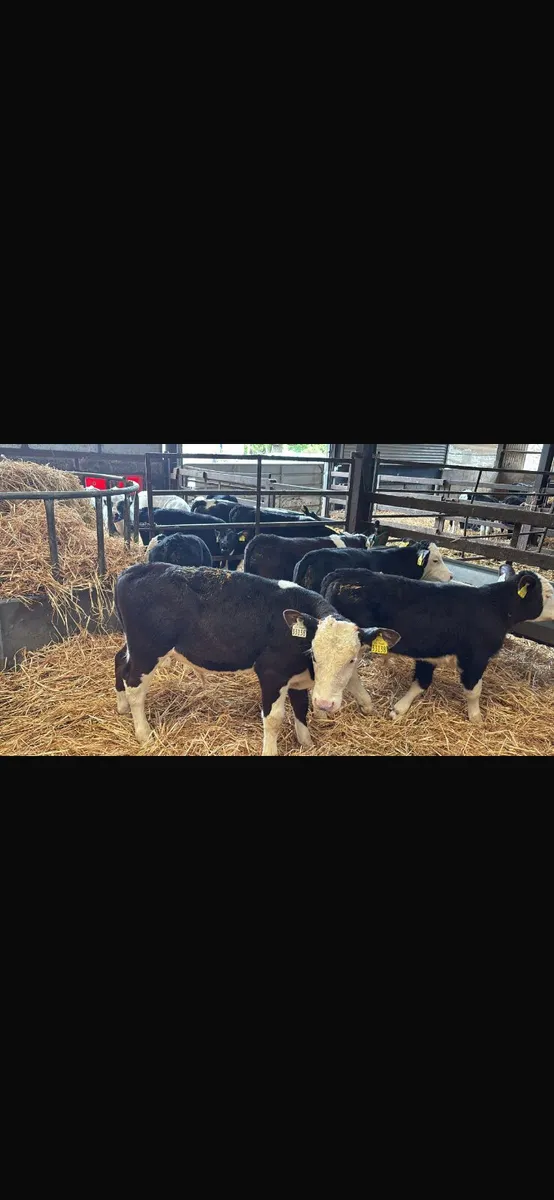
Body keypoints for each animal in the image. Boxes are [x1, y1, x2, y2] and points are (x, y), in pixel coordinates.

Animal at [114, 563, 400, 755]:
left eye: (352, 659)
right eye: (315, 655)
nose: (325, 704)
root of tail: (135, 570)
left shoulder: (295, 678)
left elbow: (301, 708)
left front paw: (306, 742)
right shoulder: (272, 673)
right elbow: (274, 719)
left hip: (134, 645)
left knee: (119, 662)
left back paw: (122, 706)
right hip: (148, 650)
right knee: (134, 685)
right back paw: (144, 733)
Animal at [320, 567, 554, 725]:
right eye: (549, 594)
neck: (494, 607)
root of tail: (341, 573)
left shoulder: (429, 654)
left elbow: (421, 682)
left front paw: (399, 709)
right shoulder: (475, 659)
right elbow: (473, 691)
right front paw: (476, 717)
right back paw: (365, 703)